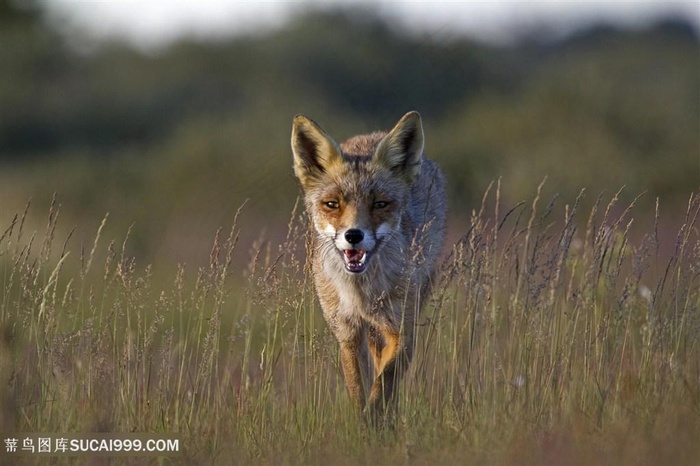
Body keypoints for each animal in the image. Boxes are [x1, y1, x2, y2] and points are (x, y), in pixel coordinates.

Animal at [292, 110, 448, 422]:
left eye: (380, 204)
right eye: (332, 204)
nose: (354, 235)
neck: (361, 294)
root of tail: (372, 135)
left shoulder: (403, 330)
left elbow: (385, 380)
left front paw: (377, 419)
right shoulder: (347, 333)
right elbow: (358, 389)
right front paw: (363, 423)